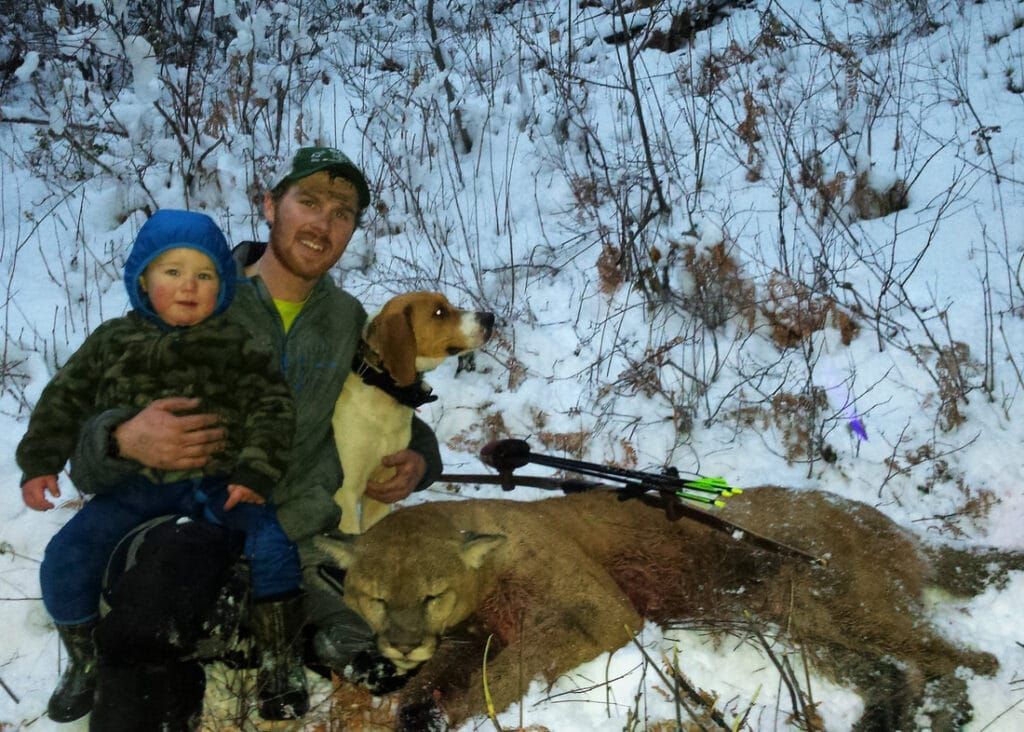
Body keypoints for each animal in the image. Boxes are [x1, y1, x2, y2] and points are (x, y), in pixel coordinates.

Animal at [317, 487, 1015, 732]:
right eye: (377, 597)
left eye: (430, 593)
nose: (402, 643)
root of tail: (887, 523)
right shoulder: (467, 637)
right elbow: (439, 678)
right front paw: (416, 707)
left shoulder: (596, 612)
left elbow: (511, 670)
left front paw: (442, 714)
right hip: (802, 619)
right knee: (893, 671)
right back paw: (884, 720)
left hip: (840, 601)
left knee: (969, 660)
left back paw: (944, 714)